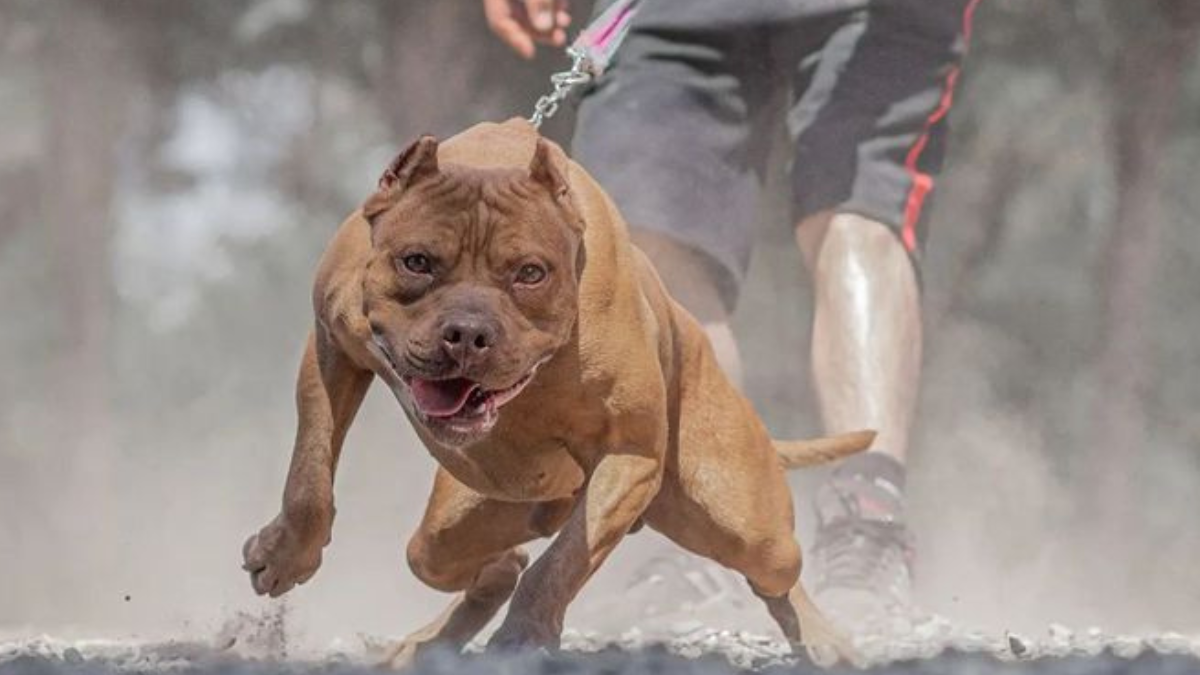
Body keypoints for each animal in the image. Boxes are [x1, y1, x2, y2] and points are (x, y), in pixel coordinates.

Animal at [241, 117, 873, 662]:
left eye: (530, 273)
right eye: (416, 261)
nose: (467, 334)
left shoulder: (630, 456)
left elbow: (563, 564)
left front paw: (524, 637)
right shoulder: (332, 344)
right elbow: (310, 473)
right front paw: (286, 555)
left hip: (741, 519)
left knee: (776, 571)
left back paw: (823, 637)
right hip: (462, 522)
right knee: (474, 560)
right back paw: (429, 641)